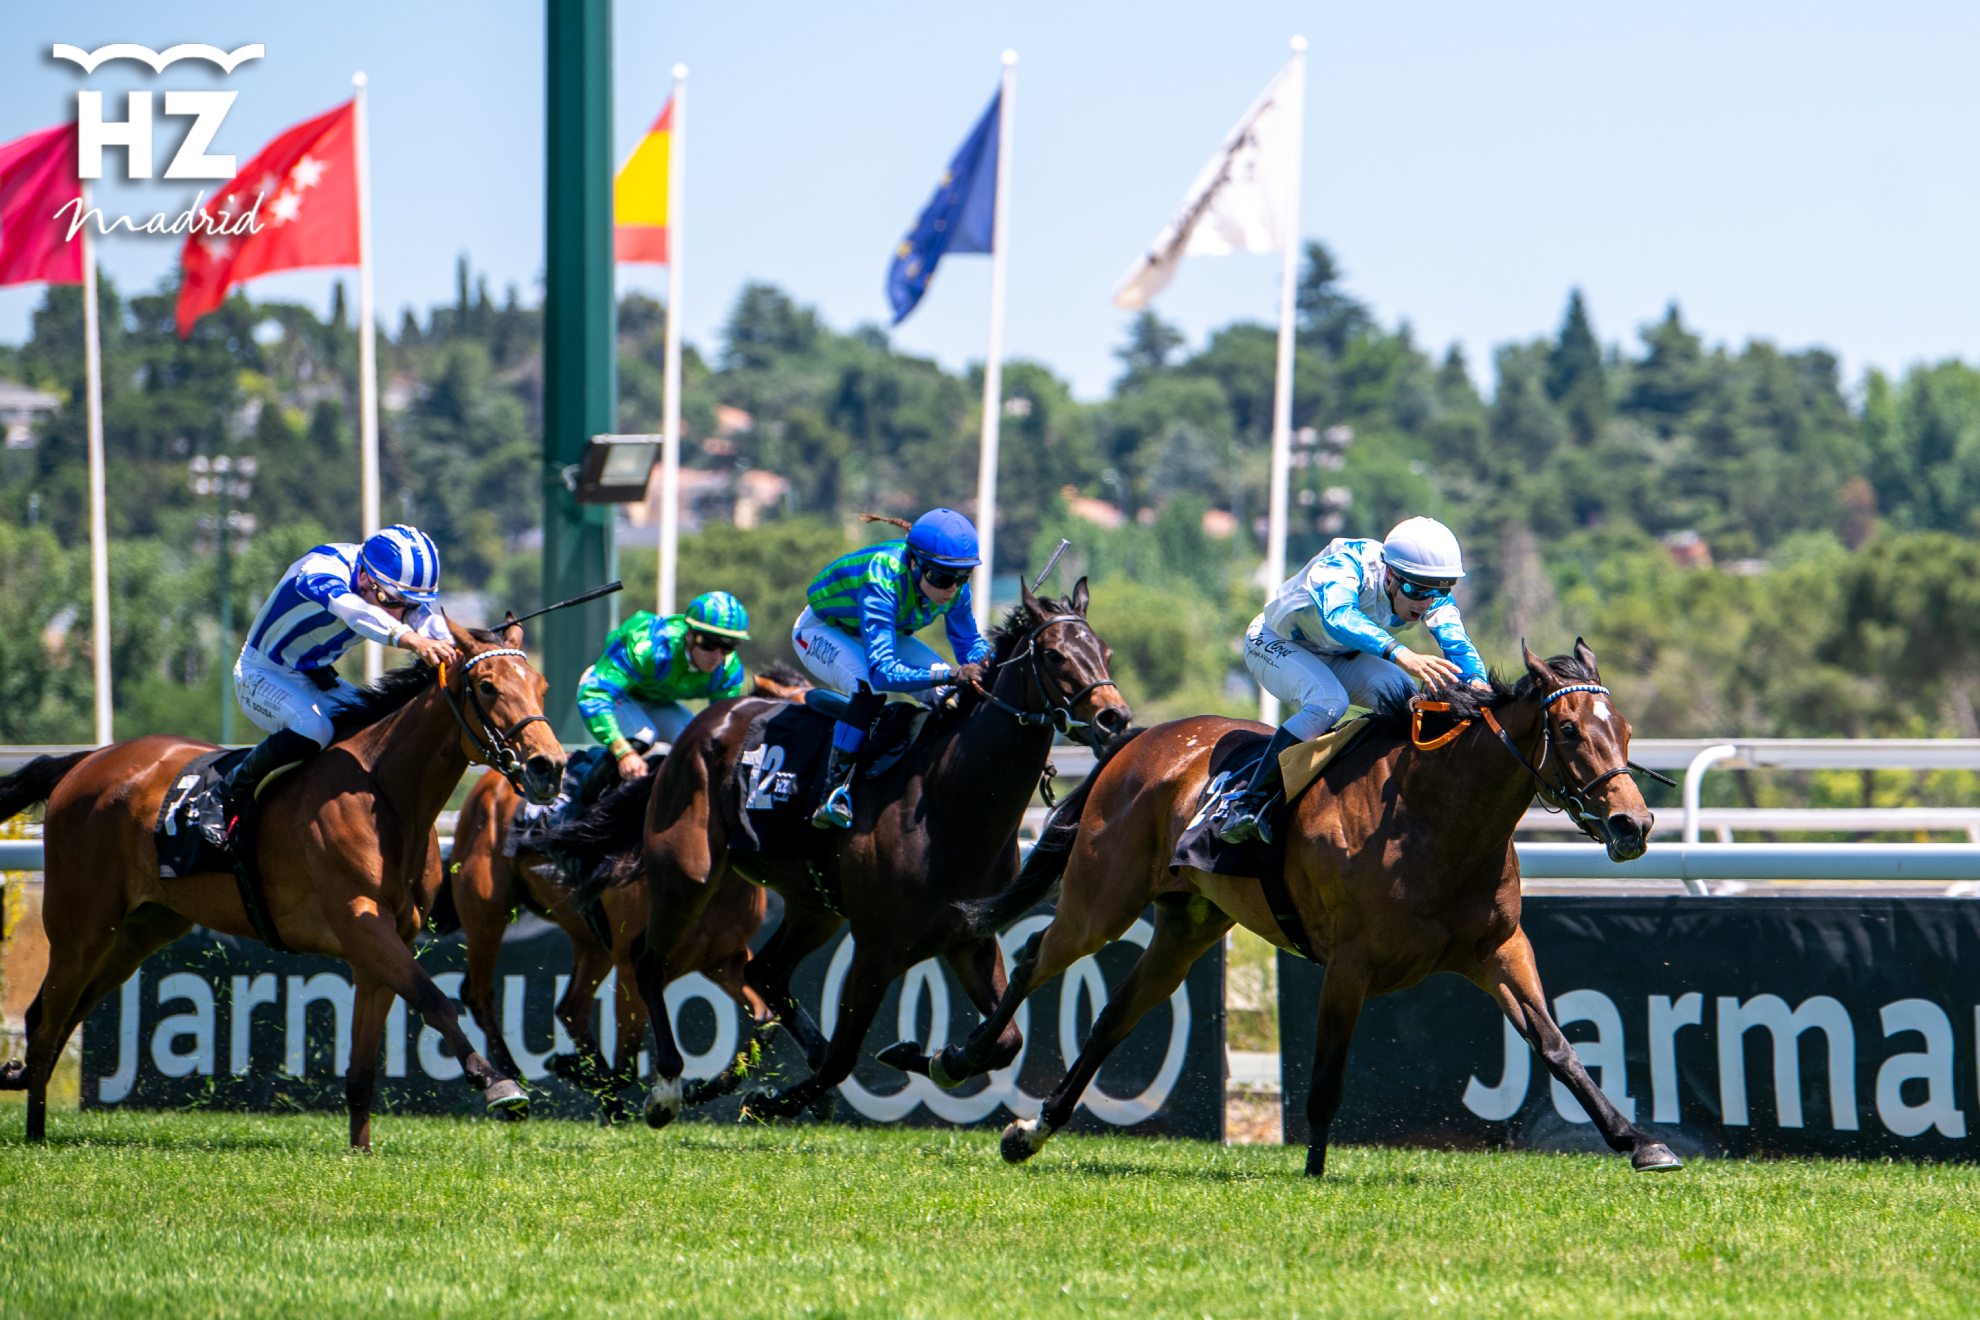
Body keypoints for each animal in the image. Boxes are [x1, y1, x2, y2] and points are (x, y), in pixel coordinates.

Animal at [3, 621, 570, 1147]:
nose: (550, 766)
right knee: (47, 1022)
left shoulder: (384, 944)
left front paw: (360, 1151)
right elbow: (435, 999)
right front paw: (499, 1084)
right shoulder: (362, 923)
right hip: (80, 925)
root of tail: (86, 762)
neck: (383, 795)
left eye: (542, 685)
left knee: (56, 1014)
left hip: (141, 929)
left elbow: (363, 1068)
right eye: (488, 687)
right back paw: (34, 1133)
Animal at [934, 641, 1679, 1179]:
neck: (1435, 818)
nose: (1633, 824)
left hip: (1187, 923)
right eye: (1569, 730)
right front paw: (1315, 1169)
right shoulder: (1349, 964)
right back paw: (960, 1059)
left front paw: (1638, 1142)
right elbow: (1324, 1075)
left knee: (1114, 1017)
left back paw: (1031, 1131)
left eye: (1624, 729)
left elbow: (1557, 1046)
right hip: (1103, 899)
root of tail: (1138, 741)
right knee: (1035, 957)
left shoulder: (1497, 948)